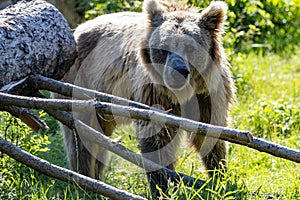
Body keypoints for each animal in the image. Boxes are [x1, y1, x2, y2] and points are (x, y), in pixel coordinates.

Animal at [55, 0, 236, 197]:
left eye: (190, 48)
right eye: (164, 47)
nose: (178, 71)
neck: (183, 94)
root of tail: (78, 28)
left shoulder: (208, 95)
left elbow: (210, 135)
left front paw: (219, 179)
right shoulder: (153, 94)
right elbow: (156, 139)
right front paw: (162, 186)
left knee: (99, 139)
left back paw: (97, 178)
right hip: (79, 83)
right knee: (80, 137)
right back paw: (83, 180)